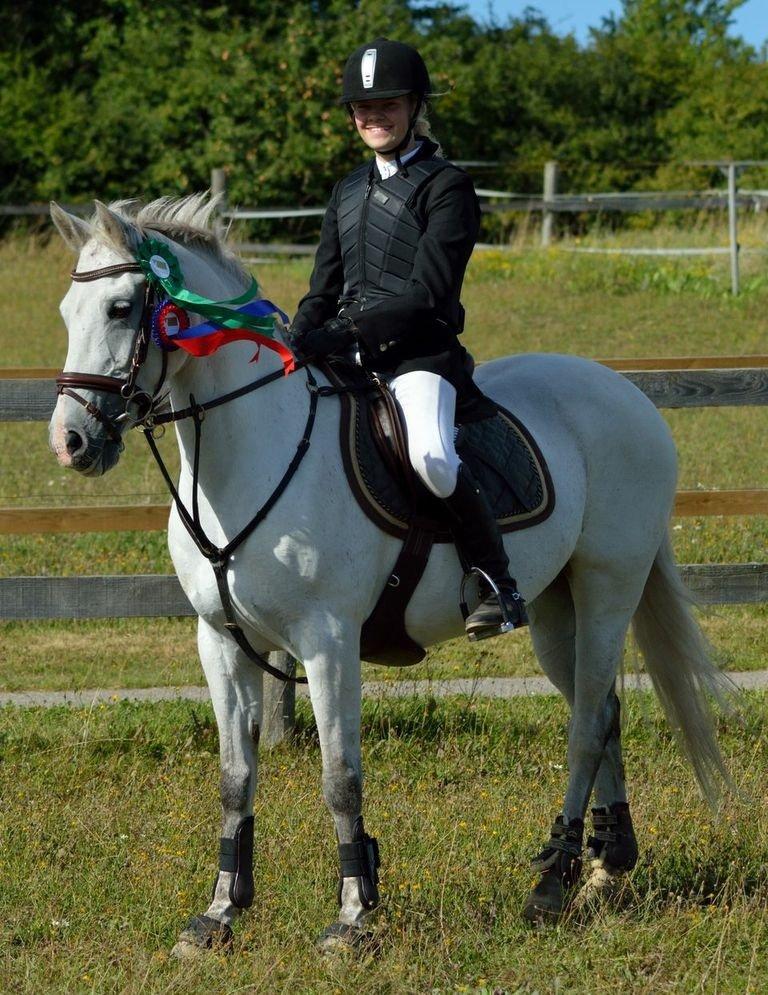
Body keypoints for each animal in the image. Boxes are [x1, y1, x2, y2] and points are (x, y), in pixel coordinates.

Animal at [48, 195, 732, 953]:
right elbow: (234, 776)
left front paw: (353, 918)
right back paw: (605, 870)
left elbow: (340, 778)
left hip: (608, 588)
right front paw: (219, 913)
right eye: (66, 313)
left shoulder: (327, 642)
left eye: (119, 309)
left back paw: (551, 884)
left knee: (586, 724)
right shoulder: (221, 641)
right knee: (604, 708)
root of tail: (627, 394)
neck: (245, 458)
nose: (71, 442)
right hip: (557, 607)